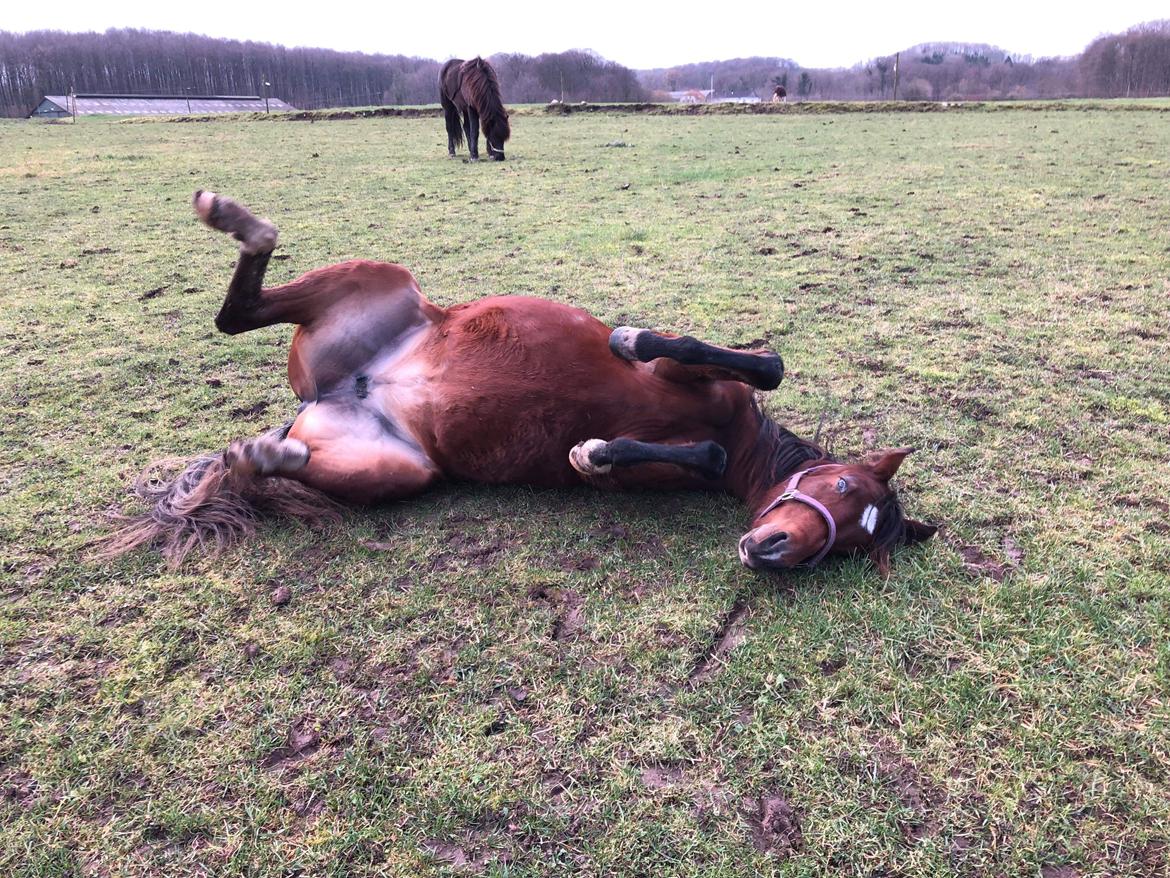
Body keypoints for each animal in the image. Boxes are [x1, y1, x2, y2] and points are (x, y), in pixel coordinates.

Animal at [102, 191, 940, 571]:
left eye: (848, 548)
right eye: (840, 488)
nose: (770, 552)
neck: (742, 438)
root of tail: (325, 398)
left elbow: (687, 456)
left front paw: (596, 452)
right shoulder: (692, 372)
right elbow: (750, 360)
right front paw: (625, 342)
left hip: (399, 469)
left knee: (267, 443)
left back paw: (262, 455)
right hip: (381, 279)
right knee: (237, 311)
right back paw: (235, 219)